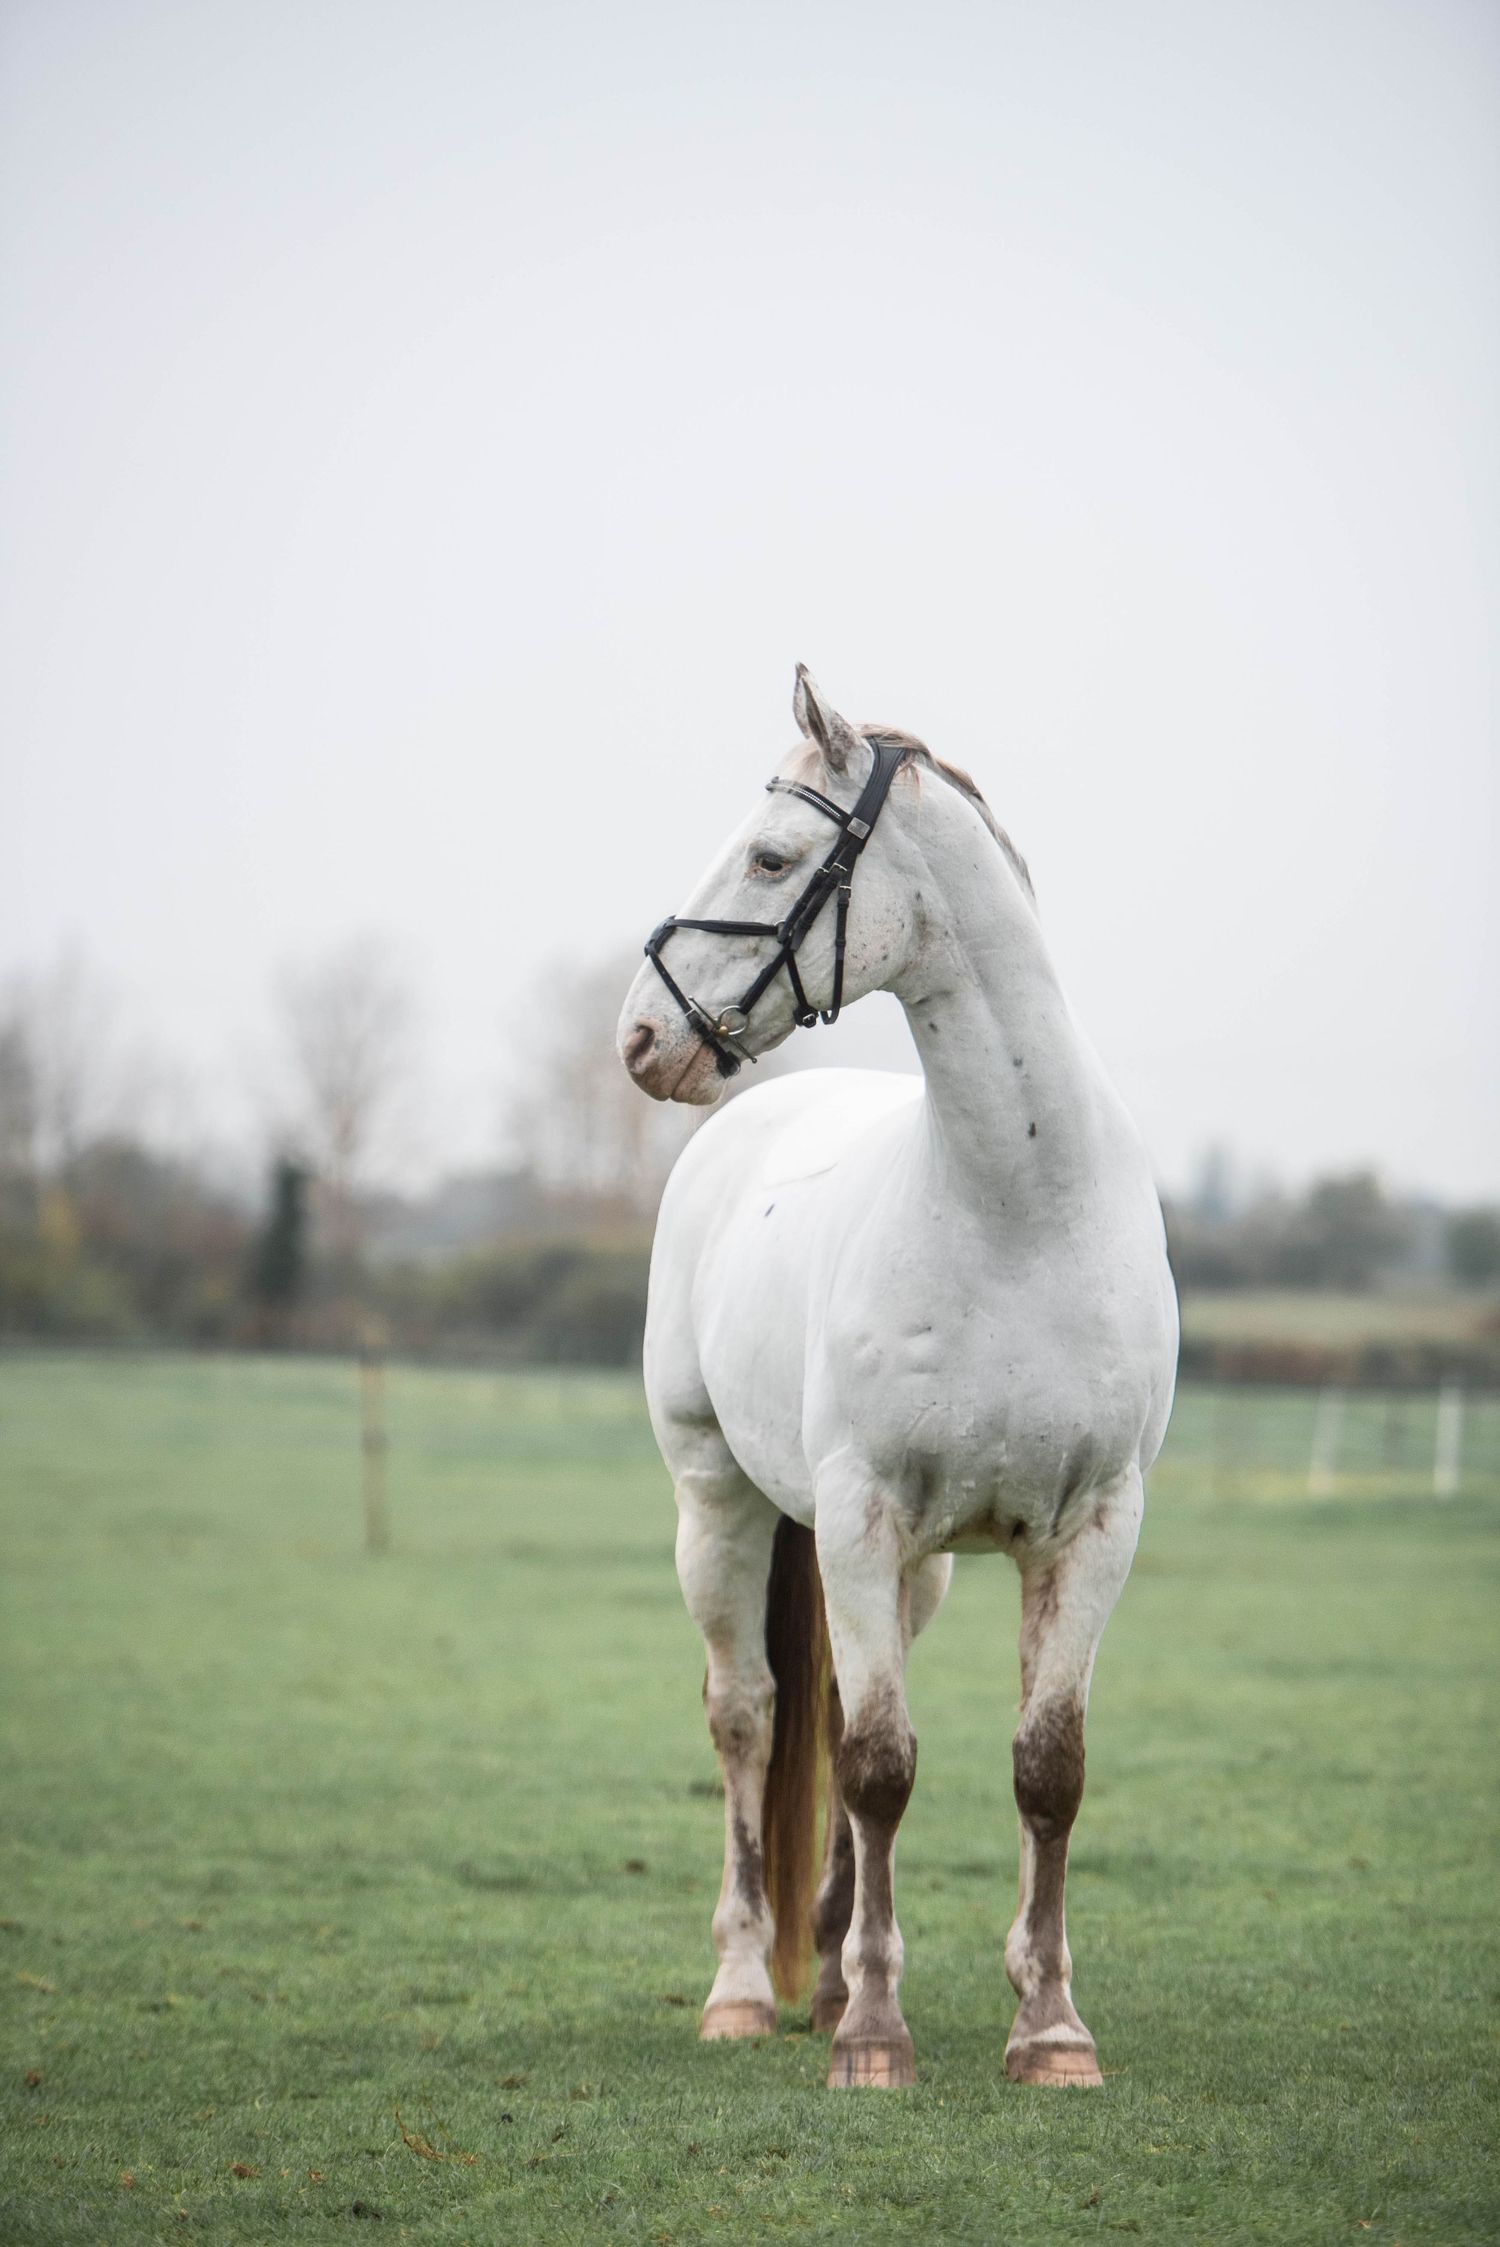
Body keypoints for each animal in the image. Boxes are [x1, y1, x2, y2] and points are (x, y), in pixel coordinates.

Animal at [615, 666, 1178, 2090]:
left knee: (817, 1715)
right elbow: (876, 1768)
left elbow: (1047, 1768)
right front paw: (874, 2037)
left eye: (772, 856)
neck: (1018, 1211)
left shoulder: (1091, 1532)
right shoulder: (861, 1517)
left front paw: (1051, 2028)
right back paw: (751, 1988)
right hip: (723, 1509)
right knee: (751, 1719)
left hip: (913, 1575)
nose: (641, 1037)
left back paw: (821, 1974)